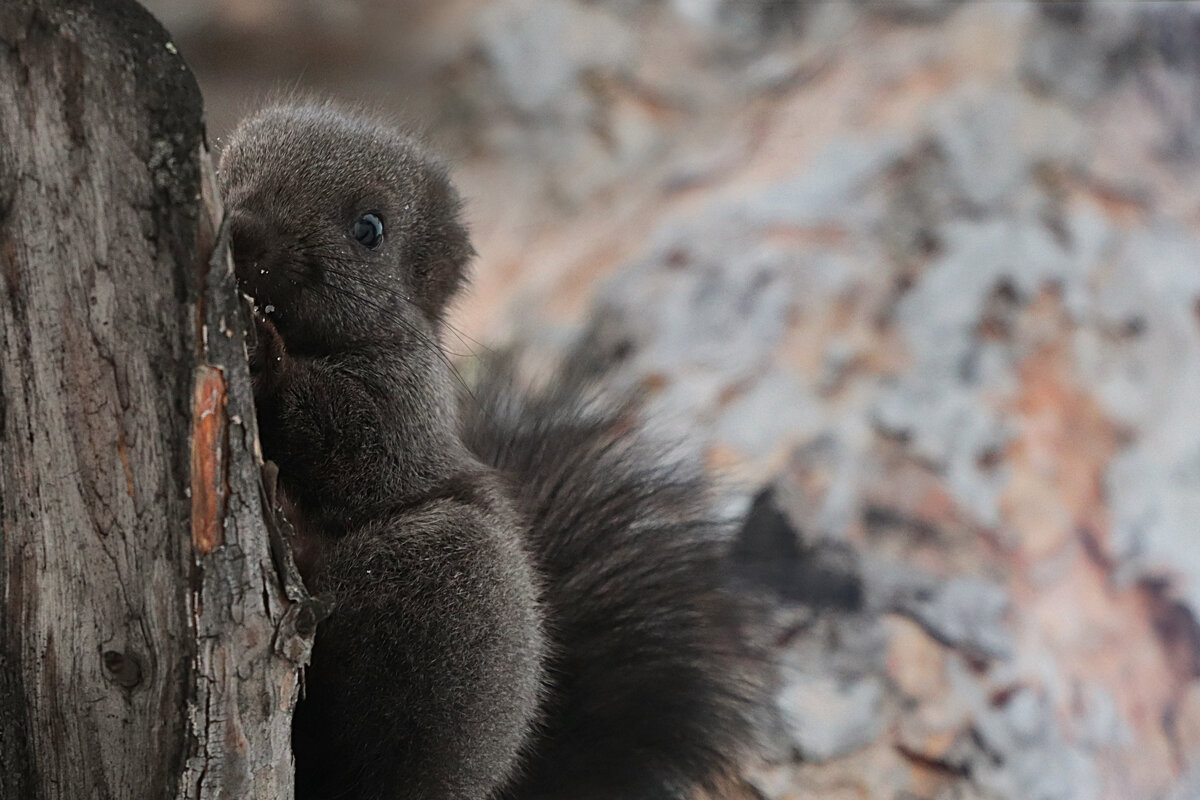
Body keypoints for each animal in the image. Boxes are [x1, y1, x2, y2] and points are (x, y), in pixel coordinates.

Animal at [217, 106, 758, 800]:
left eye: (370, 230)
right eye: (227, 165)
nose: (244, 230)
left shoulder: (411, 407)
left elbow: (355, 447)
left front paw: (265, 353)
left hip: (448, 583)